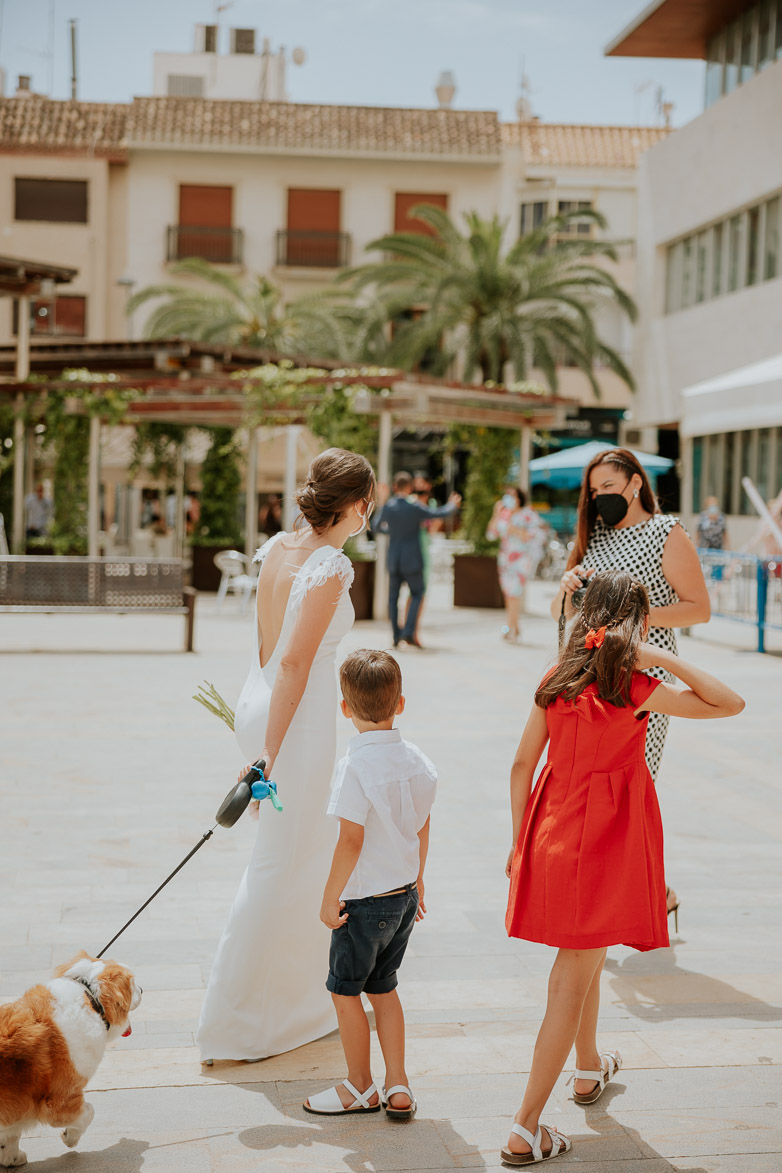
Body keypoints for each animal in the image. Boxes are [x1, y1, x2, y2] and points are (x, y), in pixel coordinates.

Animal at [0, 952, 140, 1163]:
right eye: (133, 983)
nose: (142, 989)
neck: (91, 997)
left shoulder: (16, 1107)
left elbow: (11, 1134)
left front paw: (12, 1158)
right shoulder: (59, 1104)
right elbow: (88, 1112)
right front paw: (70, 1138)